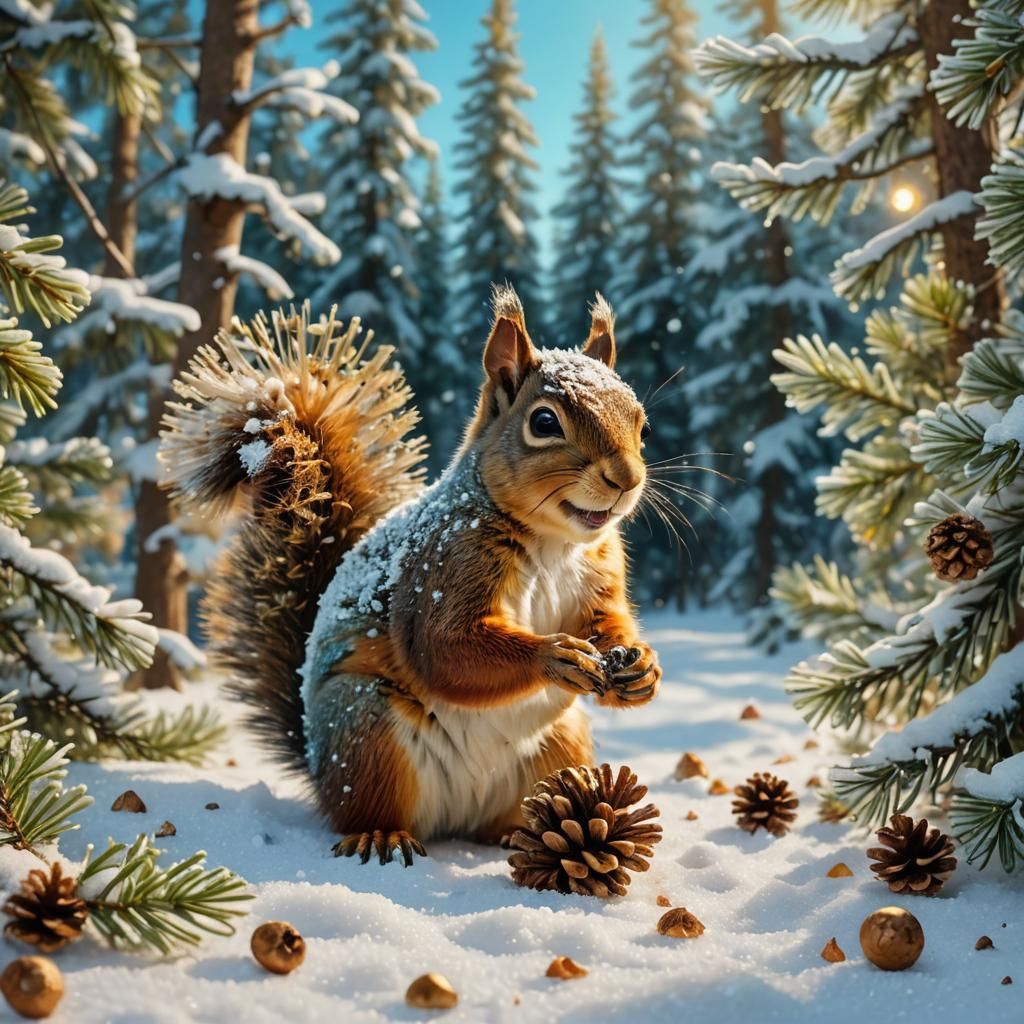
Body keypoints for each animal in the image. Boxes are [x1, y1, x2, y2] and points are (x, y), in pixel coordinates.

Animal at [160, 285, 661, 866]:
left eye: (641, 422)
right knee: (369, 807)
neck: (554, 543)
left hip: (562, 745)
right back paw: (382, 835)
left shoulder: (601, 576)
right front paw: (552, 656)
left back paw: (523, 834)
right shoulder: (444, 565)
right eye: (543, 423)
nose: (626, 478)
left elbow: (607, 621)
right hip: (366, 728)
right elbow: (445, 648)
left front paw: (641, 668)